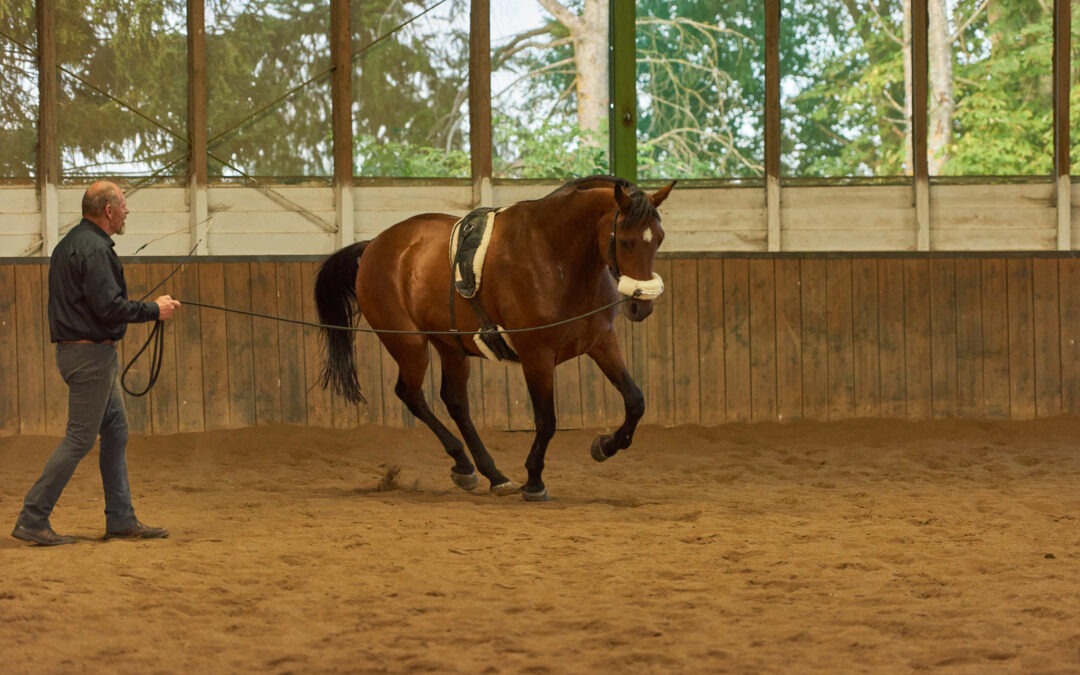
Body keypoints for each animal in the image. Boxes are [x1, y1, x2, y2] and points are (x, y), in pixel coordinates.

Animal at [313, 174, 678, 501]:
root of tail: (373, 246)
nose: (641, 304)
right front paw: (534, 481)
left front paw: (605, 446)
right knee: (412, 394)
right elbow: (546, 420)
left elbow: (635, 400)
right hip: (409, 345)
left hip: (451, 346)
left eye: (659, 239)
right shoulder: (536, 355)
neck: (555, 257)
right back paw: (465, 463)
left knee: (455, 401)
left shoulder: (601, 342)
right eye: (625, 241)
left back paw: (490, 474)